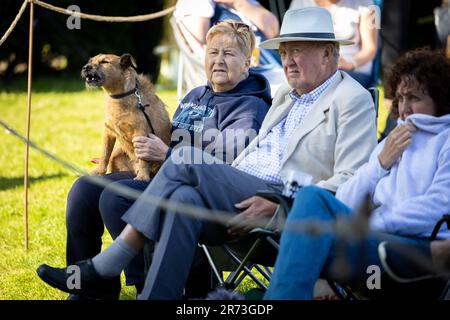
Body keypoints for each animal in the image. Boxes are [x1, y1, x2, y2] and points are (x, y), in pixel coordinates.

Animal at [81, 53, 171, 181]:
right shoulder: (108, 132)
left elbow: (143, 159)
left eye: (104, 62)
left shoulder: (141, 134)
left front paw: (142, 177)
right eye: (91, 61)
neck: (120, 96)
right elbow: (105, 154)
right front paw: (98, 172)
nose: (85, 67)